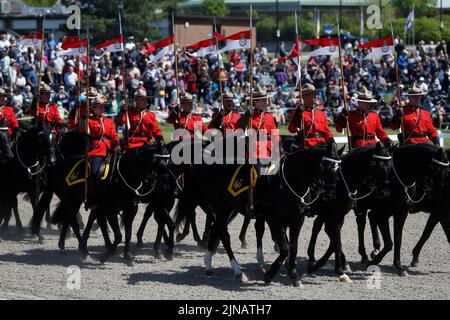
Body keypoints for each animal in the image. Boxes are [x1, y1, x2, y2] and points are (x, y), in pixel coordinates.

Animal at [175, 141, 342, 286]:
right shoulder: (274, 220)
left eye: (338, 168)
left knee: (216, 229)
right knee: (224, 235)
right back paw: (237, 270)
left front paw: (293, 275)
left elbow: (293, 247)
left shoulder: (297, 219)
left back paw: (209, 264)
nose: (332, 194)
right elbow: (285, 249)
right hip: (221, 207)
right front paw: (269, 275)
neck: (289, 182)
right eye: (327, 166)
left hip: (229, 209)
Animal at [306, 142, 394, 282]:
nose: (384, 192)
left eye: (390, 166)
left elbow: (335, 241)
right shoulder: (334, 215)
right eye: (378, 165)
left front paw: (319, 265)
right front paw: (340, 270)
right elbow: (336, 241)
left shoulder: (338, 215)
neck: (342, 181)